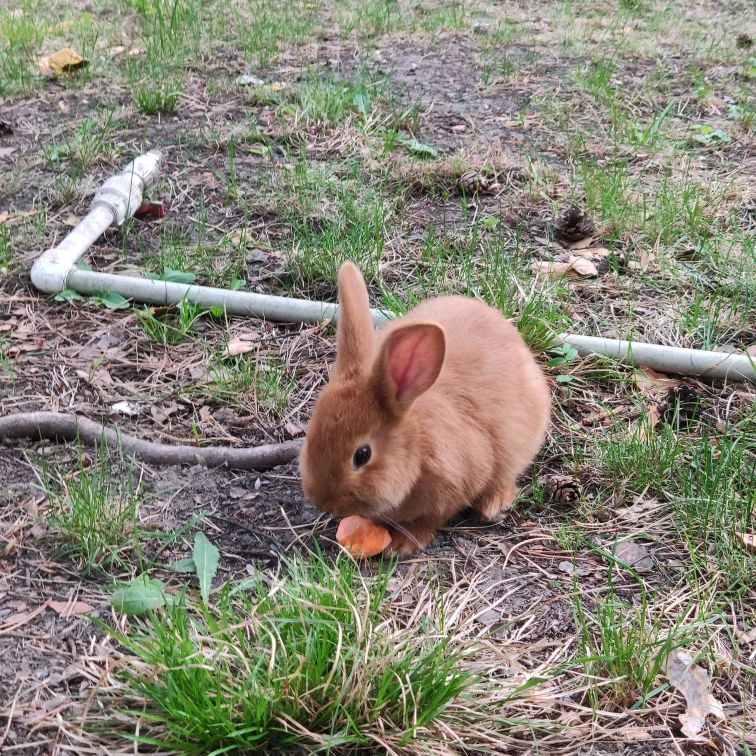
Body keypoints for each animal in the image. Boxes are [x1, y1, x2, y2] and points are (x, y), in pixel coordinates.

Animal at [298, 262, 552, 552]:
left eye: (362, 455)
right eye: (311, 434)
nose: (321, 501)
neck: (417, 446)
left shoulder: (456, 485)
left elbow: (430, 520)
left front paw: (402, 543)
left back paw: (492, 506)